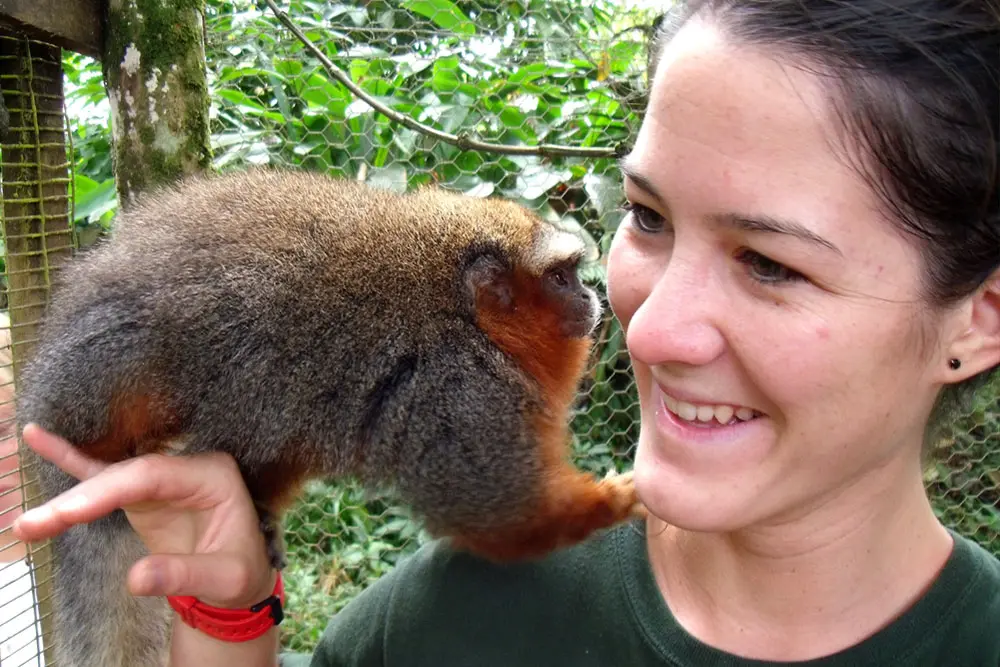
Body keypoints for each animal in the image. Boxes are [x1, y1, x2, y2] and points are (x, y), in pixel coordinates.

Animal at [14, 167, 645, 667]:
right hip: (92, 381)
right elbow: (498, 511)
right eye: (560, 277)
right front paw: (613, 502)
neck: (468, 316)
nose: (590, 297)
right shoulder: (460, 393)